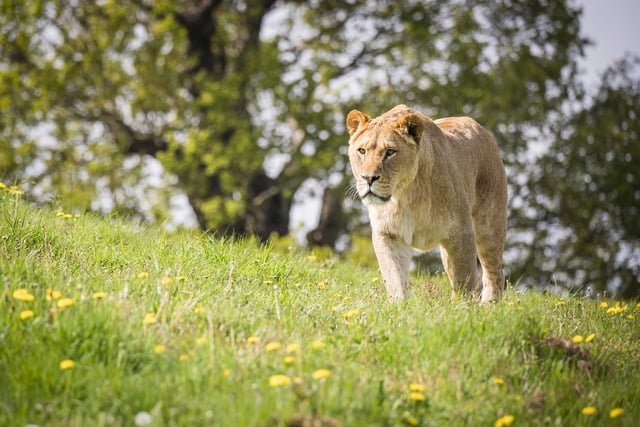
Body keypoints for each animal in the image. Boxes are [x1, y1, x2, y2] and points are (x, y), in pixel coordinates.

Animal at [346, 104, 507, 303]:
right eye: (362, 151)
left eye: (390, 152)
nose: (368, 178)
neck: (405, 195)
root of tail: (482, 130)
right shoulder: (387, 233)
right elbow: (394, 276)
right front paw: (399, 305)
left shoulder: (461, 232)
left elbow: (464, 280)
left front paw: (461, 308)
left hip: (489, 227)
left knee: (494, 272)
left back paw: (489, 304)